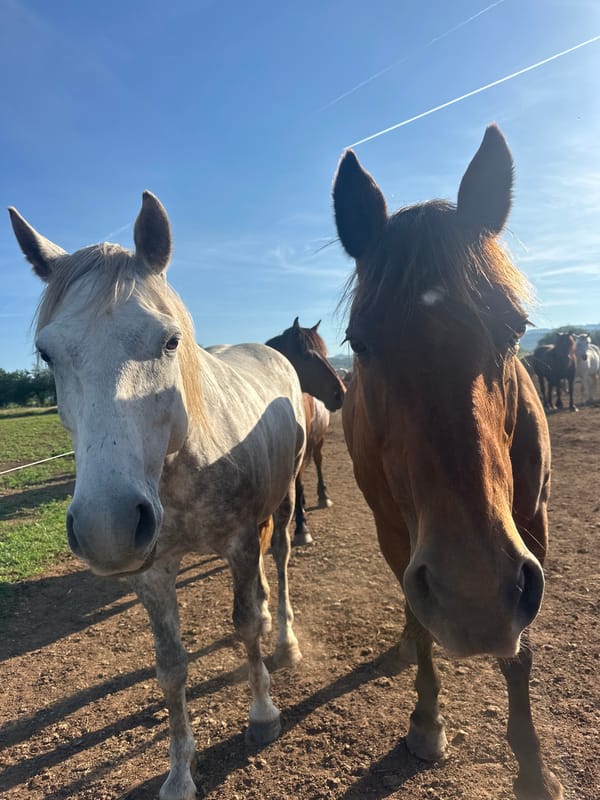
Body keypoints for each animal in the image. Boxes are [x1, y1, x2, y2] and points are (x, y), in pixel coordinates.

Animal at [9, 193, 306, 800]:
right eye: (46, 354)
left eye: (170, 341)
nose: (107, 526)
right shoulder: (151, 572)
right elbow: (170, 666)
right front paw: (178, 772)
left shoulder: (241, 544)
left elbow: (245, 624)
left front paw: (263, 713)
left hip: (285, 497)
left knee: (282, 560)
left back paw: (285, 639)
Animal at [266, 318, 345, 544]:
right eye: (308, 355)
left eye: (325, 353)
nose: (341, 392)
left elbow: (299, 484)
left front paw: (302, 528)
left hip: (317, 441)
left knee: (317, 461)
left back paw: (322, 497)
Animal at [333, 125, 563, 800]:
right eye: (359, 342)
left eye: (514, 329)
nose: (473, 597)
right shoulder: (399, 534)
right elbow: (418, 615)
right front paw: (427, 720)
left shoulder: (531, 532)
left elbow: (521, 651)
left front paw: (533, 768)